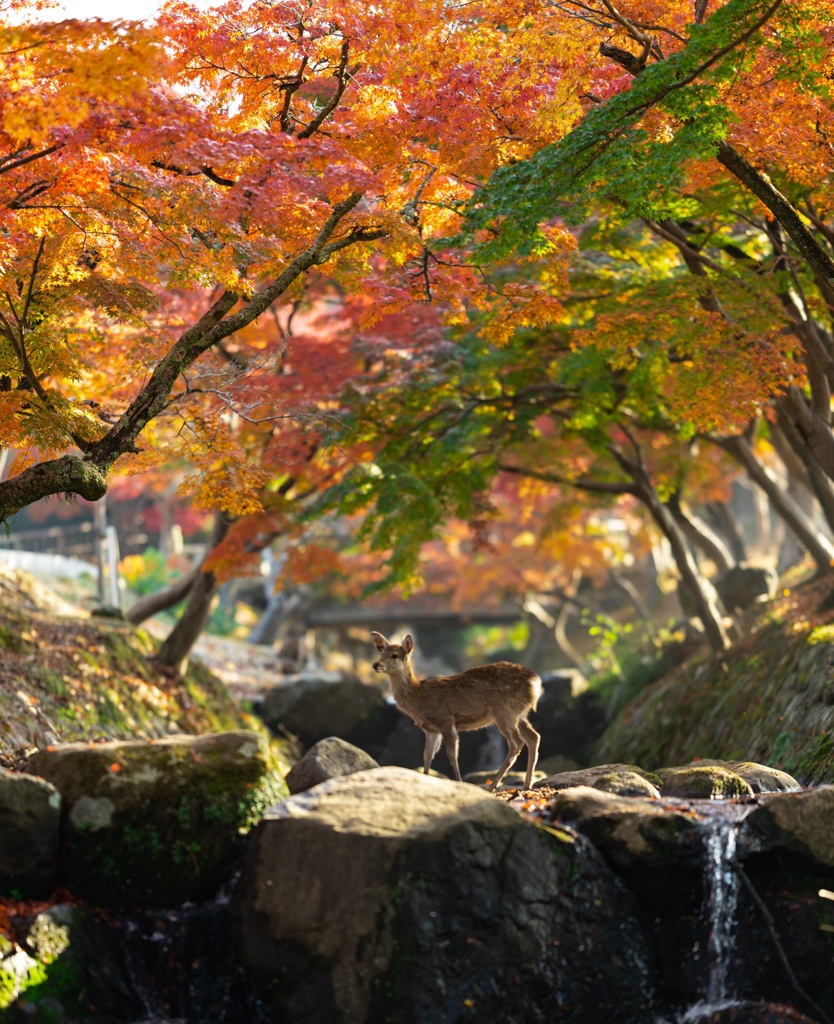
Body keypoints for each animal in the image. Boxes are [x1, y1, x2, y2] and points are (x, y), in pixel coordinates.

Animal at [370, 630, 540, 790]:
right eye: (381, 653)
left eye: (394, 655)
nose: (375, 665)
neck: (418, 696)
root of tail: (535, 682)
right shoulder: (431, 729)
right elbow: (427, 755)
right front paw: (425, 779)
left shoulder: (446, 720)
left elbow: (452, 755)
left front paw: (459, 782)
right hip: (519, 714)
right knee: (533, 737)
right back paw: (526, 784)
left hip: (505, 712)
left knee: (516, 743)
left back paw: (492, 785)